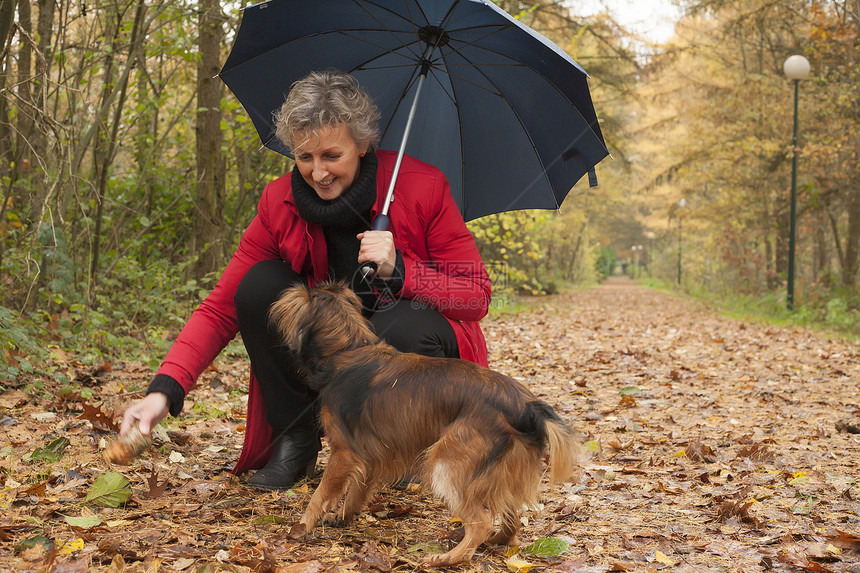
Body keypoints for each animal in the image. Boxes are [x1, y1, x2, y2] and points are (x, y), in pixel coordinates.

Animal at [270, 282, 584, 564]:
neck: (348, 349)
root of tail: (526, 407)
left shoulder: (344, 452)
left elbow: (319, 495)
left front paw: (299, 528)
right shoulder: (370, 454)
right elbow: (358, 490)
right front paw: (344, 517)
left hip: (446, 463)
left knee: (480, 523)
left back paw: (448, 558)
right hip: (501, 470)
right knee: (510, 515)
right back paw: (497, 540)